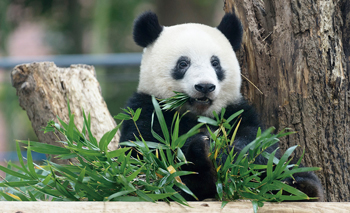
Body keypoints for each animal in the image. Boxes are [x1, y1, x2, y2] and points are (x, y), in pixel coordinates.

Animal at [119, 10, 324, 201]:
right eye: (183, 63)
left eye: (215, 63)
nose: (205, 86)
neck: (198, 115)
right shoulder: (148, 110)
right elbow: (147, 153)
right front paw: (203, 149)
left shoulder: (235, 111)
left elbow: (259, 143)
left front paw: (231, 151)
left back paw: (302, 187)